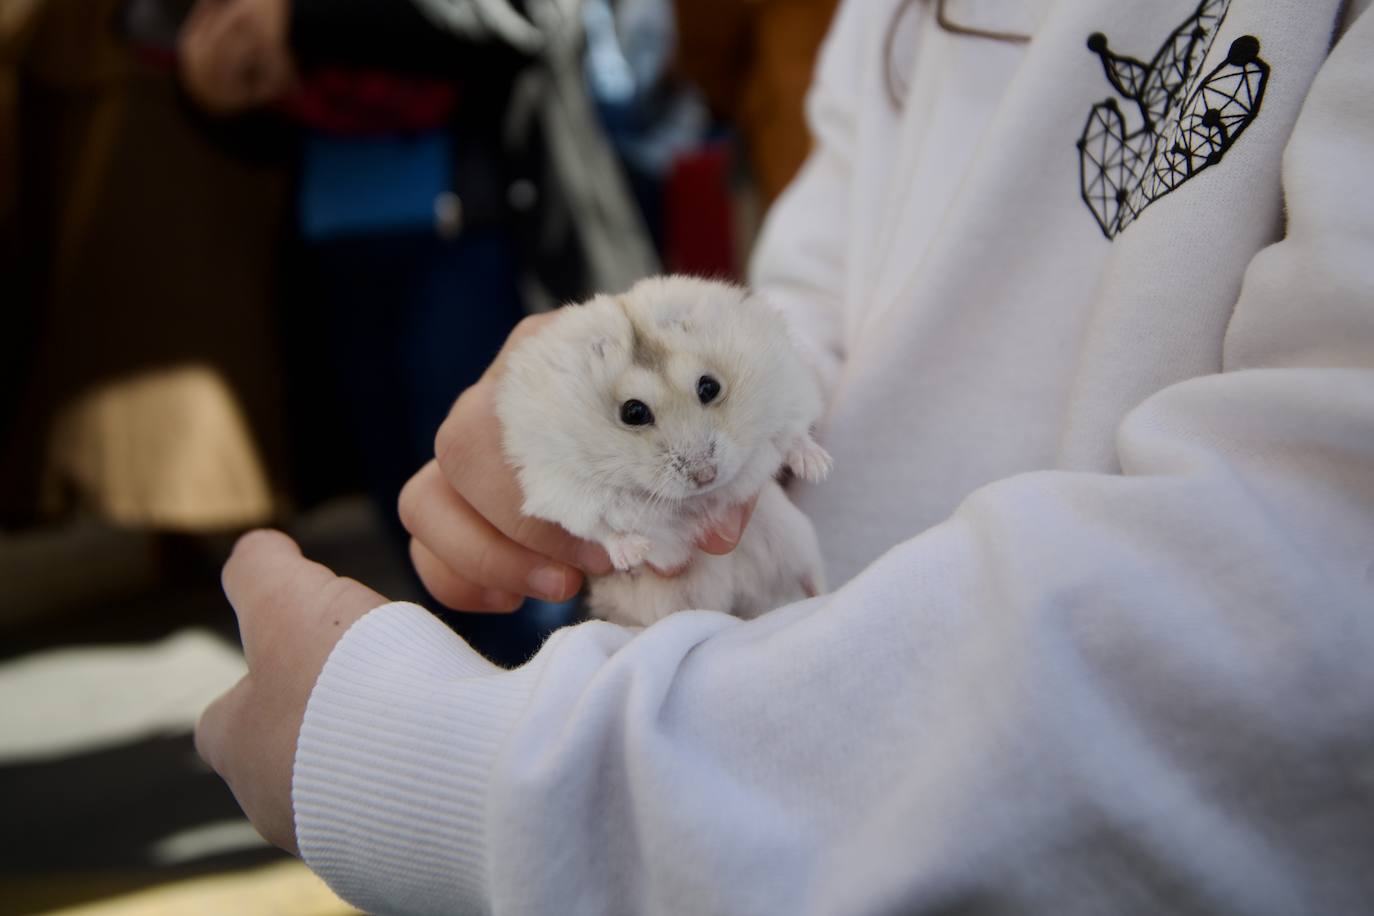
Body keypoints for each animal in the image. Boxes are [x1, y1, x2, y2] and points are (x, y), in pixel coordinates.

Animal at [500, 276, 829, 626]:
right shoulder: (565, 491)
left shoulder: (787, 390)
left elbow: (794, 436)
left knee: (811, 577)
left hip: (795, 538)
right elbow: (599, 530)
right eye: (633, 412)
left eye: (709, 387)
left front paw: (819, 468)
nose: (706, 476)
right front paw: (635, 553)